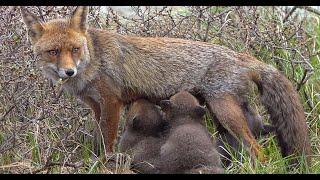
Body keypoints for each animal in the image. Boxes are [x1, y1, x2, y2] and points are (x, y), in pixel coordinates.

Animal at [20, 6, 310, 165]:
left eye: (75, 49)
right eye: (53, 52)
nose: (68, 71)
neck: (93, 59)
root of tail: (239, 55)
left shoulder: (112, 102)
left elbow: (106, 142)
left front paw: (105, 161)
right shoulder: (96, 106)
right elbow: (97, 140)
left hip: (226, 113)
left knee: (258, 150)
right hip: (222, 116)